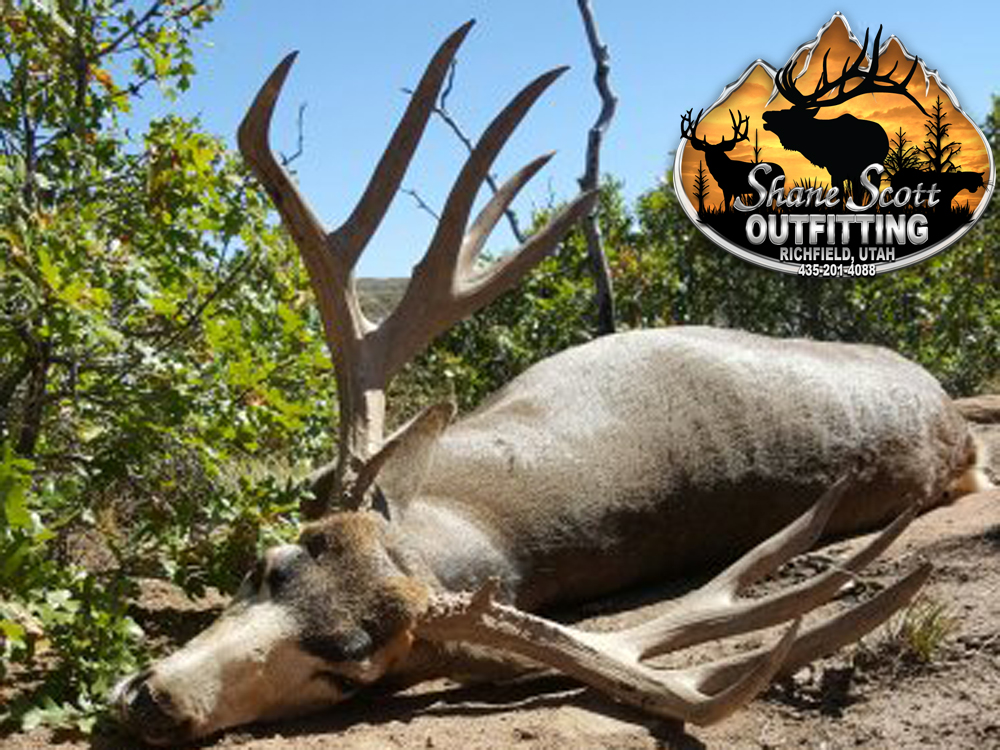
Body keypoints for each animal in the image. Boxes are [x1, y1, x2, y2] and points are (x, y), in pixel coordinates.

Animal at [762, 26, 929, 207]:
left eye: (791, 115)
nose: (766, 114)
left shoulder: (853, 171)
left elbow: (854, 198)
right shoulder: (835, 171)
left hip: (876, 167)